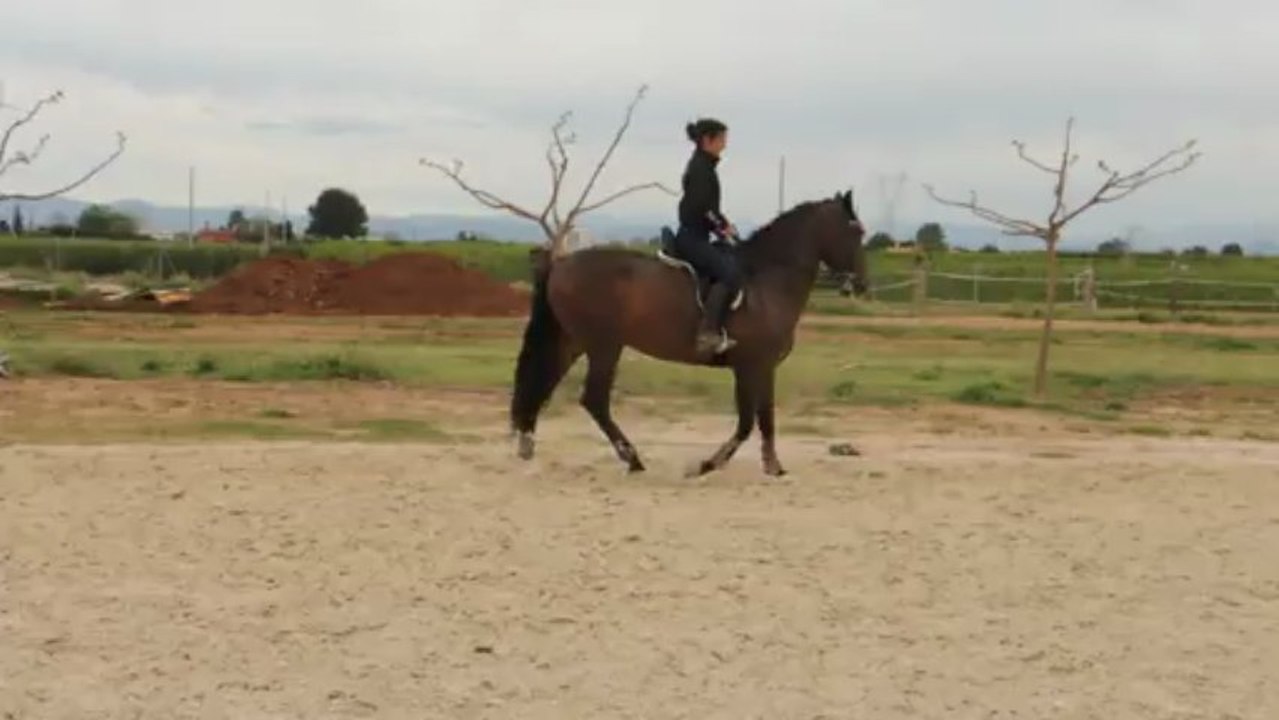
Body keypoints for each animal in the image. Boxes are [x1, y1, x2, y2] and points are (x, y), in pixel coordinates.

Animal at [509, 190, 868, 477]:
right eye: (854, 231)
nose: (862, 284)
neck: (766, 281)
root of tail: (561, 263)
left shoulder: (754, 368)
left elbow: (756, 418)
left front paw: (749, 465)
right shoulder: (754, 365)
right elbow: (753, 420)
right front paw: (726, 465)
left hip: (573, 341)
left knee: (544, 381)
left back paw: (527, 443)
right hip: (604, 346)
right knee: (594, 399)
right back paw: (632, 458)